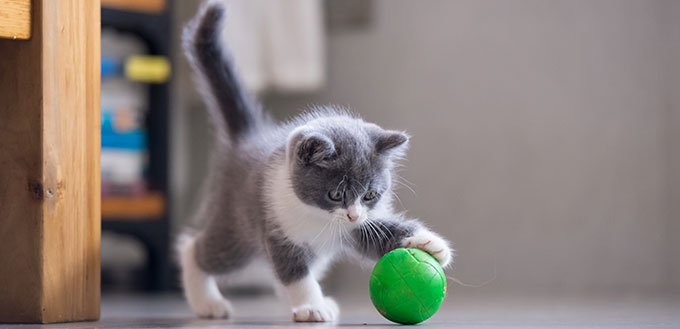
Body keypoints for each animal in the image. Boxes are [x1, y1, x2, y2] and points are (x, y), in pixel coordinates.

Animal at [178, 1, 454, 322]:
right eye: (335, 194)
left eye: (370, 195)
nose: (353, 215)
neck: (319, 217)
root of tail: (249, 137)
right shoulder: (278, 227)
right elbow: (294, 271)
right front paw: (311, 305)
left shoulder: (358, 228)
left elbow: (379, 233)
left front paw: (430, 243)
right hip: (237, 226)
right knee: (197, 248)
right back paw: (207, 301)